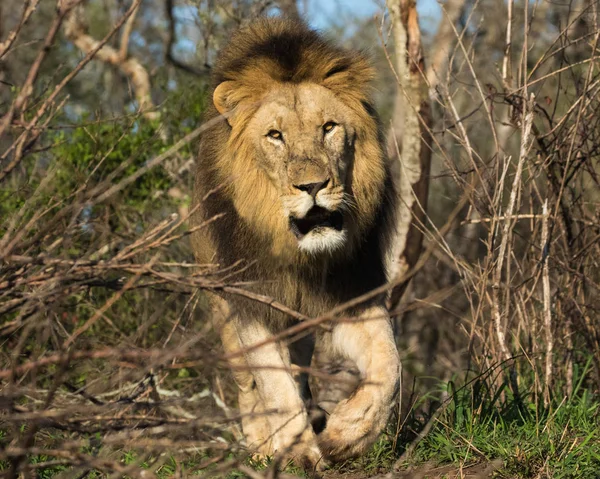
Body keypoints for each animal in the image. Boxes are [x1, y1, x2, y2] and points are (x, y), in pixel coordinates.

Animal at [190, 17, 400, 472]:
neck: (301, 257)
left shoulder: (353, 293)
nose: (313, 186)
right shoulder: (251, 299)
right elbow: (272, 383)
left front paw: (344, 435)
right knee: (247, 383)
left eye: (329, 127)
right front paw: (298, 453)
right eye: (275, 136)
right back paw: (259, 443)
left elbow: (388, 365)